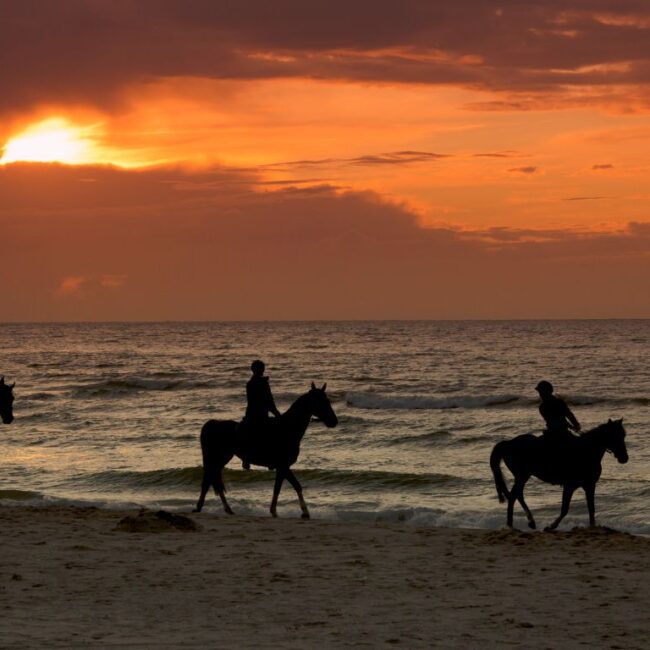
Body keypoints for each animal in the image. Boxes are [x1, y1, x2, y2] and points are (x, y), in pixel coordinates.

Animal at [194, 384, 336, 516]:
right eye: (322, 402)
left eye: (328, 400)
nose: (334, 421)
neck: (287, 429)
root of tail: (211, 424)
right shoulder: (283, 466)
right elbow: (296, 486)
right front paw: (304, 512)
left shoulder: (282, 468)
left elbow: (278, 488)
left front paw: (274, 510)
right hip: (218, 458)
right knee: (208, 481)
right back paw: (202, 507)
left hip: (221, 459)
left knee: (212, 479)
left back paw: (225, 509)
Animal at [492, 418, 628, 528]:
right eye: (615, 436)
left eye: (623, 436)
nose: (624, 458)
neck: (586, 451)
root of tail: (508, 443)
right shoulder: (570, 485)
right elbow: (565, 509)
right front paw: (551, 526)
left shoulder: (589, 485)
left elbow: (591, 508)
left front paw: (592, 527)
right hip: (522, 475)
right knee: (514, 496)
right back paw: (514, 524)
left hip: (522, 476)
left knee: (517, 495)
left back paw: (528, 522)